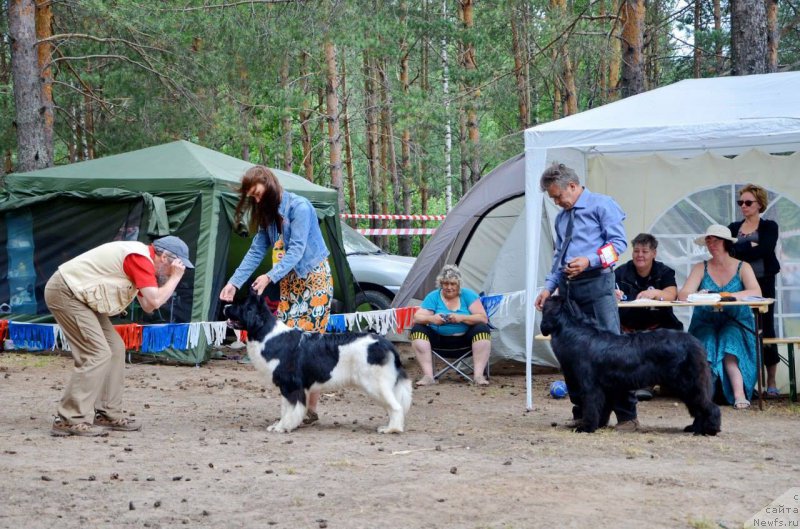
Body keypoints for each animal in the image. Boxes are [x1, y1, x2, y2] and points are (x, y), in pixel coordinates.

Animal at [223, 288, 412, 434]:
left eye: (239, 306)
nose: (224, 306)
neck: (266, 333)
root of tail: (387, 344)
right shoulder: (286, 385)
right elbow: (285, 408)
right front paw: (281, 424)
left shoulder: (291, 384)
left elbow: (291, 408)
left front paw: (283, 427)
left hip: (374, 383)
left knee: (395, 406)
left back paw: (392, 429)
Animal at [540, 294, 720, 436]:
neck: (575, 330)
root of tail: (695, 343)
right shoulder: (605, 388)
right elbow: (602, 408)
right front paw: (598, 425)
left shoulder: (591, 386)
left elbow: (590, 407)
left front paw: (586, 428)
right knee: (698, 408)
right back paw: (695, 428)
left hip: (687, 384)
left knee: (708, 406)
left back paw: (710, 430)